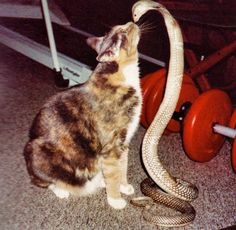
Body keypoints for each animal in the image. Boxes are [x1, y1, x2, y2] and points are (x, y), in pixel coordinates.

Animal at [23, 21, 141, 208]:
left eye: (122, 27)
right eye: (123, 31)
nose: (132, 22)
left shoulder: (124, 143)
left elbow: (122, 167)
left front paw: (123, 186)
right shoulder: (111, 147)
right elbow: (114, 173)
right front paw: (115, 200)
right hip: (36, 152)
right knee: (45, 182)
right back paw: (63, 190)